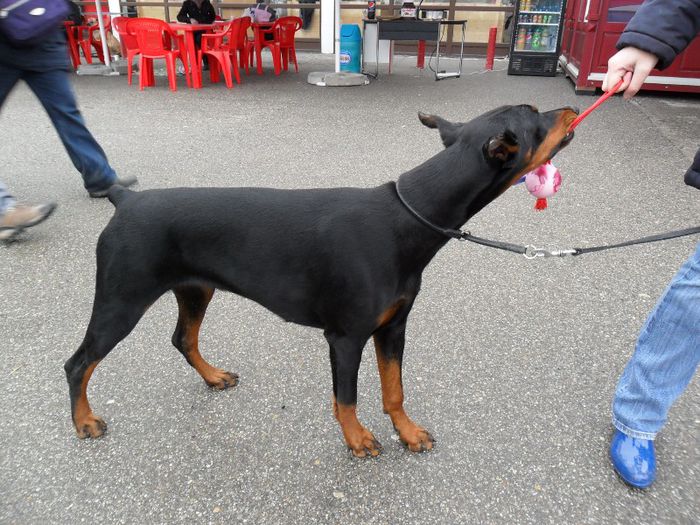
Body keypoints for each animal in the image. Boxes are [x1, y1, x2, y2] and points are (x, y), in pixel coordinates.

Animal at [63, 105, 576, 454]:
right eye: (534, 116)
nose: (570, 108)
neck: (409, 217)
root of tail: (125, 199)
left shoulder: (394, 326)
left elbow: (395, 388)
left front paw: (407, 432)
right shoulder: (346, 335)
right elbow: (346, 397)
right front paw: (358, 438)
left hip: (196, 288)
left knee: (183, 338)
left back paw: (213, 376)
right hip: (122, 299)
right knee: (78, 363)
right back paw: (84, 421)